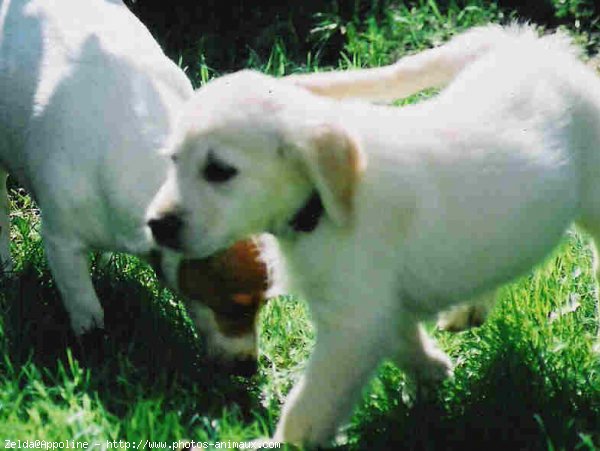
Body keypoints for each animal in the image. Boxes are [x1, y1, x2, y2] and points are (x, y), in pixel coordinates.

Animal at [146, 24, 600, 444]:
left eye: (219, 171)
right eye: (173, 161)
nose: (156, 224)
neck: (321, 207)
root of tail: (526, 44)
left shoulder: (352, 324)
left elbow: (307, 407)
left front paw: (279, 444)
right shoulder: (378, 307)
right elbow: (403, 342)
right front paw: (432, 371)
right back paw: (469, 309)